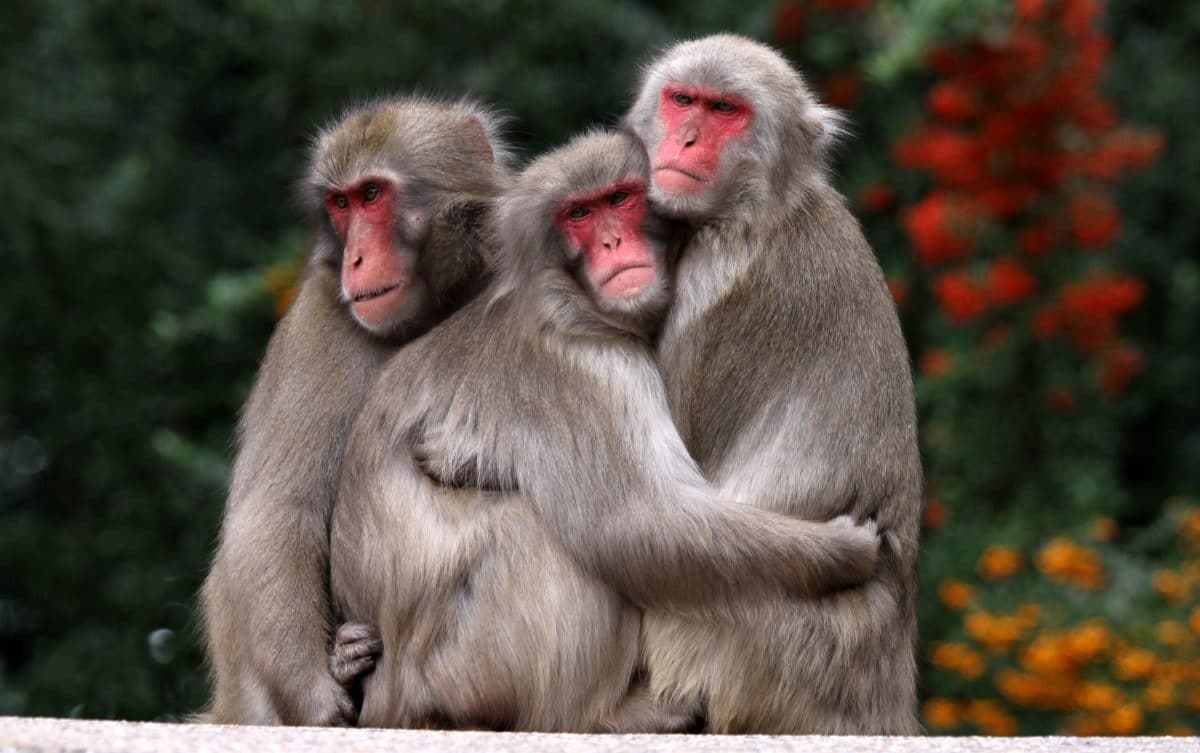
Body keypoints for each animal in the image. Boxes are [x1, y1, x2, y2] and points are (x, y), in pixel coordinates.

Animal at [199, 94, 508, 724]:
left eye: (372, 194)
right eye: (339, 204)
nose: (357, 258)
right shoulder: (319, 328)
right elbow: (277, 511)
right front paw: (319, 694)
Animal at [328, 127, 883, 729]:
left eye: (620, 199)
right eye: (579, 214)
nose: (614, 243)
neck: (567, 301)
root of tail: (389, 695)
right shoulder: (583, 372)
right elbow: (634, 525)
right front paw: (845, 551)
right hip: (459, 669)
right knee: (534, 531)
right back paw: (601, 716)